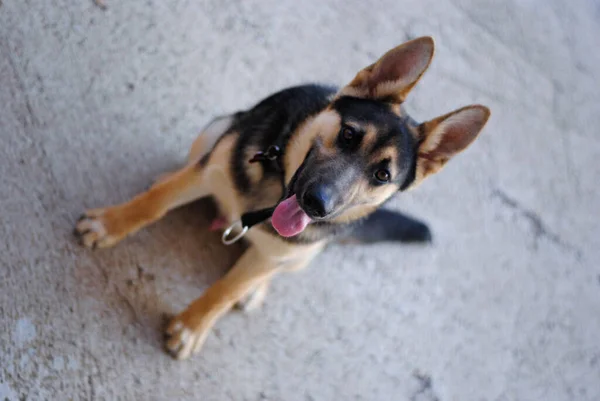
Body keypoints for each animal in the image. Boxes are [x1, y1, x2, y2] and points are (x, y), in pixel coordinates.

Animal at [72, 36, 490, 358]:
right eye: (349, 134)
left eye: (382, 175)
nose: (316, 204)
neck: (268, 199)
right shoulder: (211, 171)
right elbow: (154, 204)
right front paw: (110, 225)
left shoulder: (283, 249)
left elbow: (226, 291)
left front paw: (193, 326)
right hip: (216, 129)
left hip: (303, 254)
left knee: (269, 268)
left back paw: (256, 288)